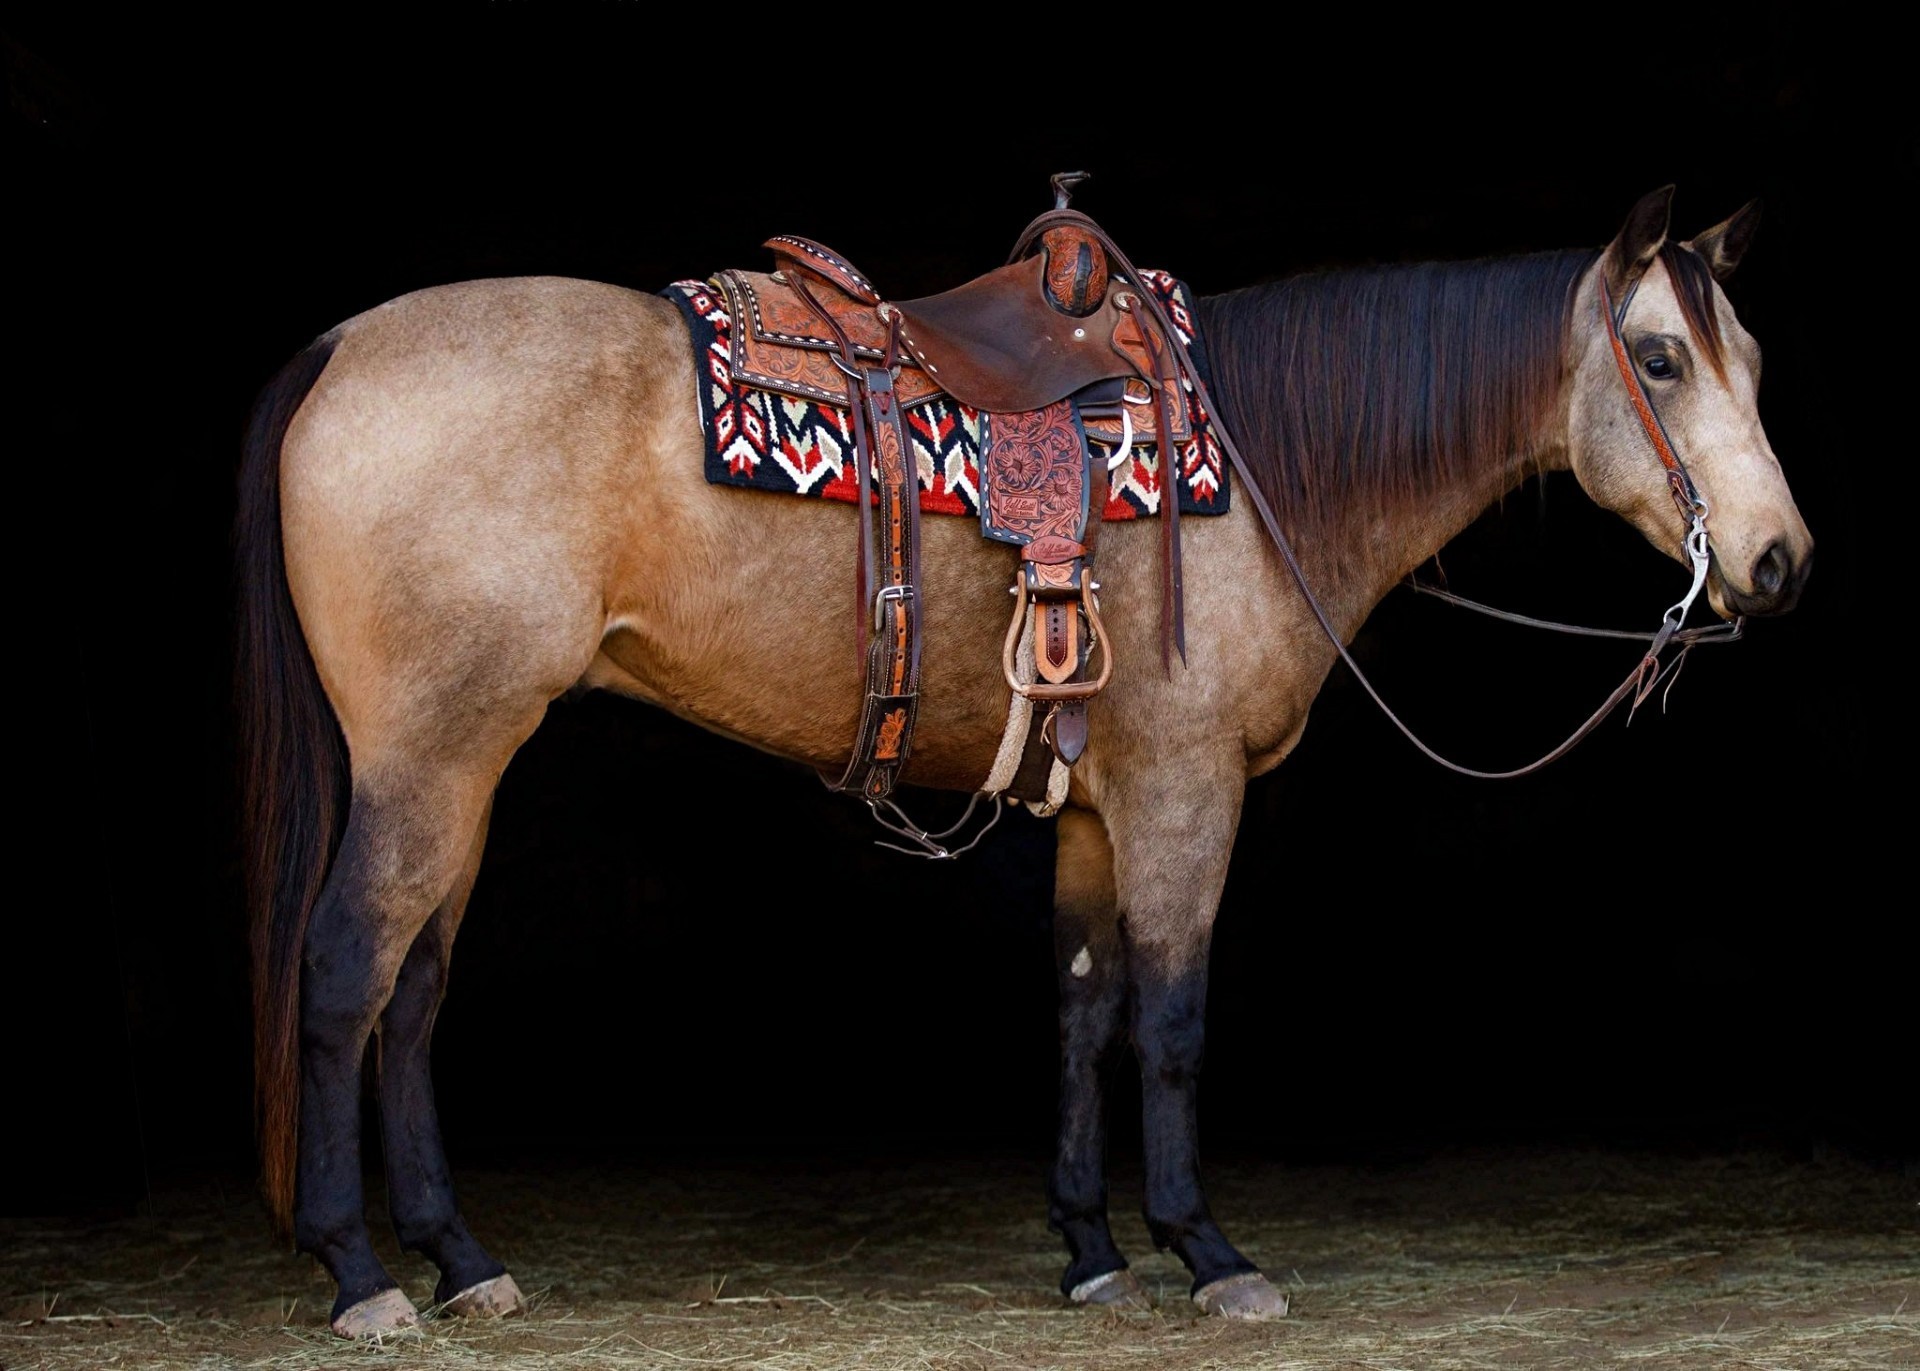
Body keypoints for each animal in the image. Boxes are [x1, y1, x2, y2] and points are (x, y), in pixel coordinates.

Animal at [232, 181, 1804, 1336]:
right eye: (1660, 358)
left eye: (1750, 360)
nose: (1780, 561)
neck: (1264, 472)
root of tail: (337, 348)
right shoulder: (1183, 794)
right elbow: (1170, 1020)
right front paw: (1207, 1250)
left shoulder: (1101, 808)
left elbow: (1083, 1006)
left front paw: (1093, 1246)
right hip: (427, 760)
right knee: (345, 972)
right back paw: (361, 1274)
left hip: (467, 765)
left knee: (413, 994)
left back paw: (457, 1256)